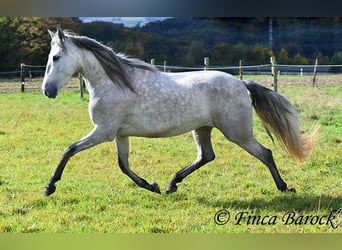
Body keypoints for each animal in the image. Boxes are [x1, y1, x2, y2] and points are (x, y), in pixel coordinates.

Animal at [40, 28, 318, 196]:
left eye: (55, 57)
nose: (47, 91)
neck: (114, 82)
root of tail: (241, 83)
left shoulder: (103, 132)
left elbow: (69, 150)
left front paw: (49, 187)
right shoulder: (119, 134)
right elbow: (123, 165)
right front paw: (151, 186)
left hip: (238, 133)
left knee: (265, 153)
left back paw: (284, 187)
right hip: (203, 128)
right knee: (206, 156)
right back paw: (172, 184)